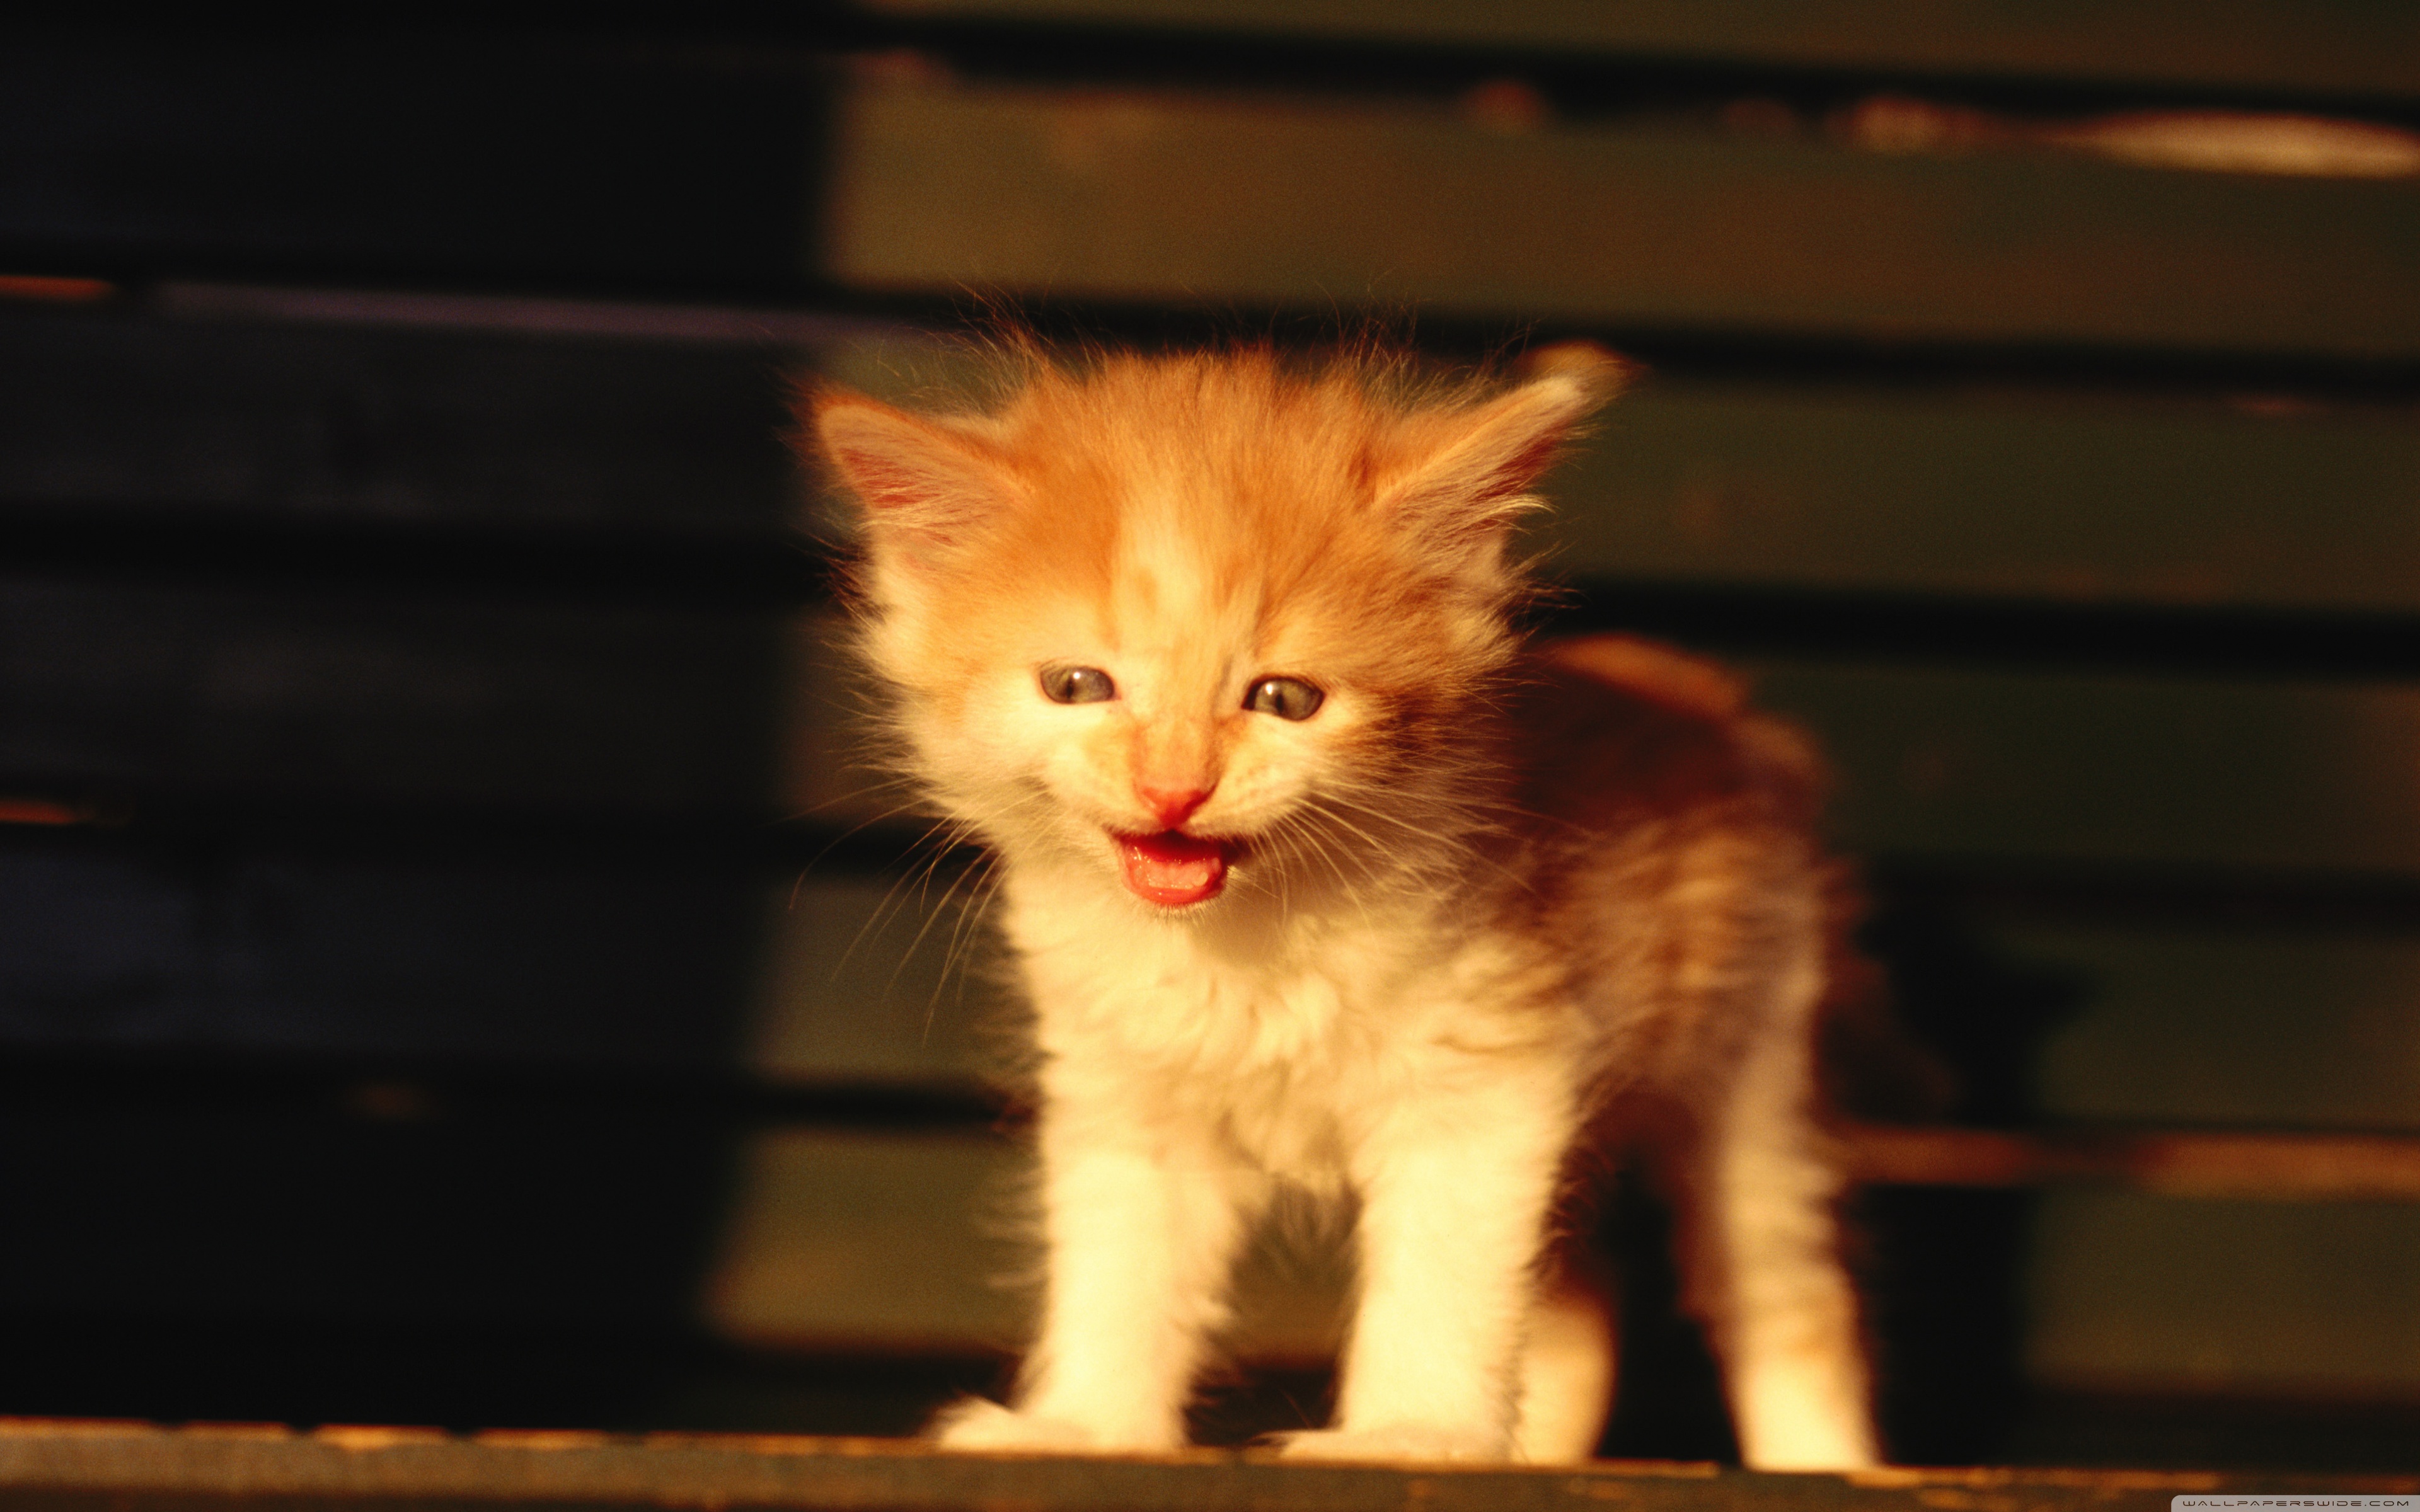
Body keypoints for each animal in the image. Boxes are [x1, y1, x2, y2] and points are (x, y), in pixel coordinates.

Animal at [803, 336, 1877, 1470]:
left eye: (1285, 700)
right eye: (1078, 686)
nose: (1173, 789)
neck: (1245, 937)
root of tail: (1714, 707)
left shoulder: (1491, 1077)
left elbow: (1445, 1285)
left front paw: (1410, 1433)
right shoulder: (1127, 1098)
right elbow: (1122, 1275)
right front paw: (1084, 1426)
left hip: (1753, 1063)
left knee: (1786, 1294)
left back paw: (1828, 1465)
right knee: (1581, 1313)